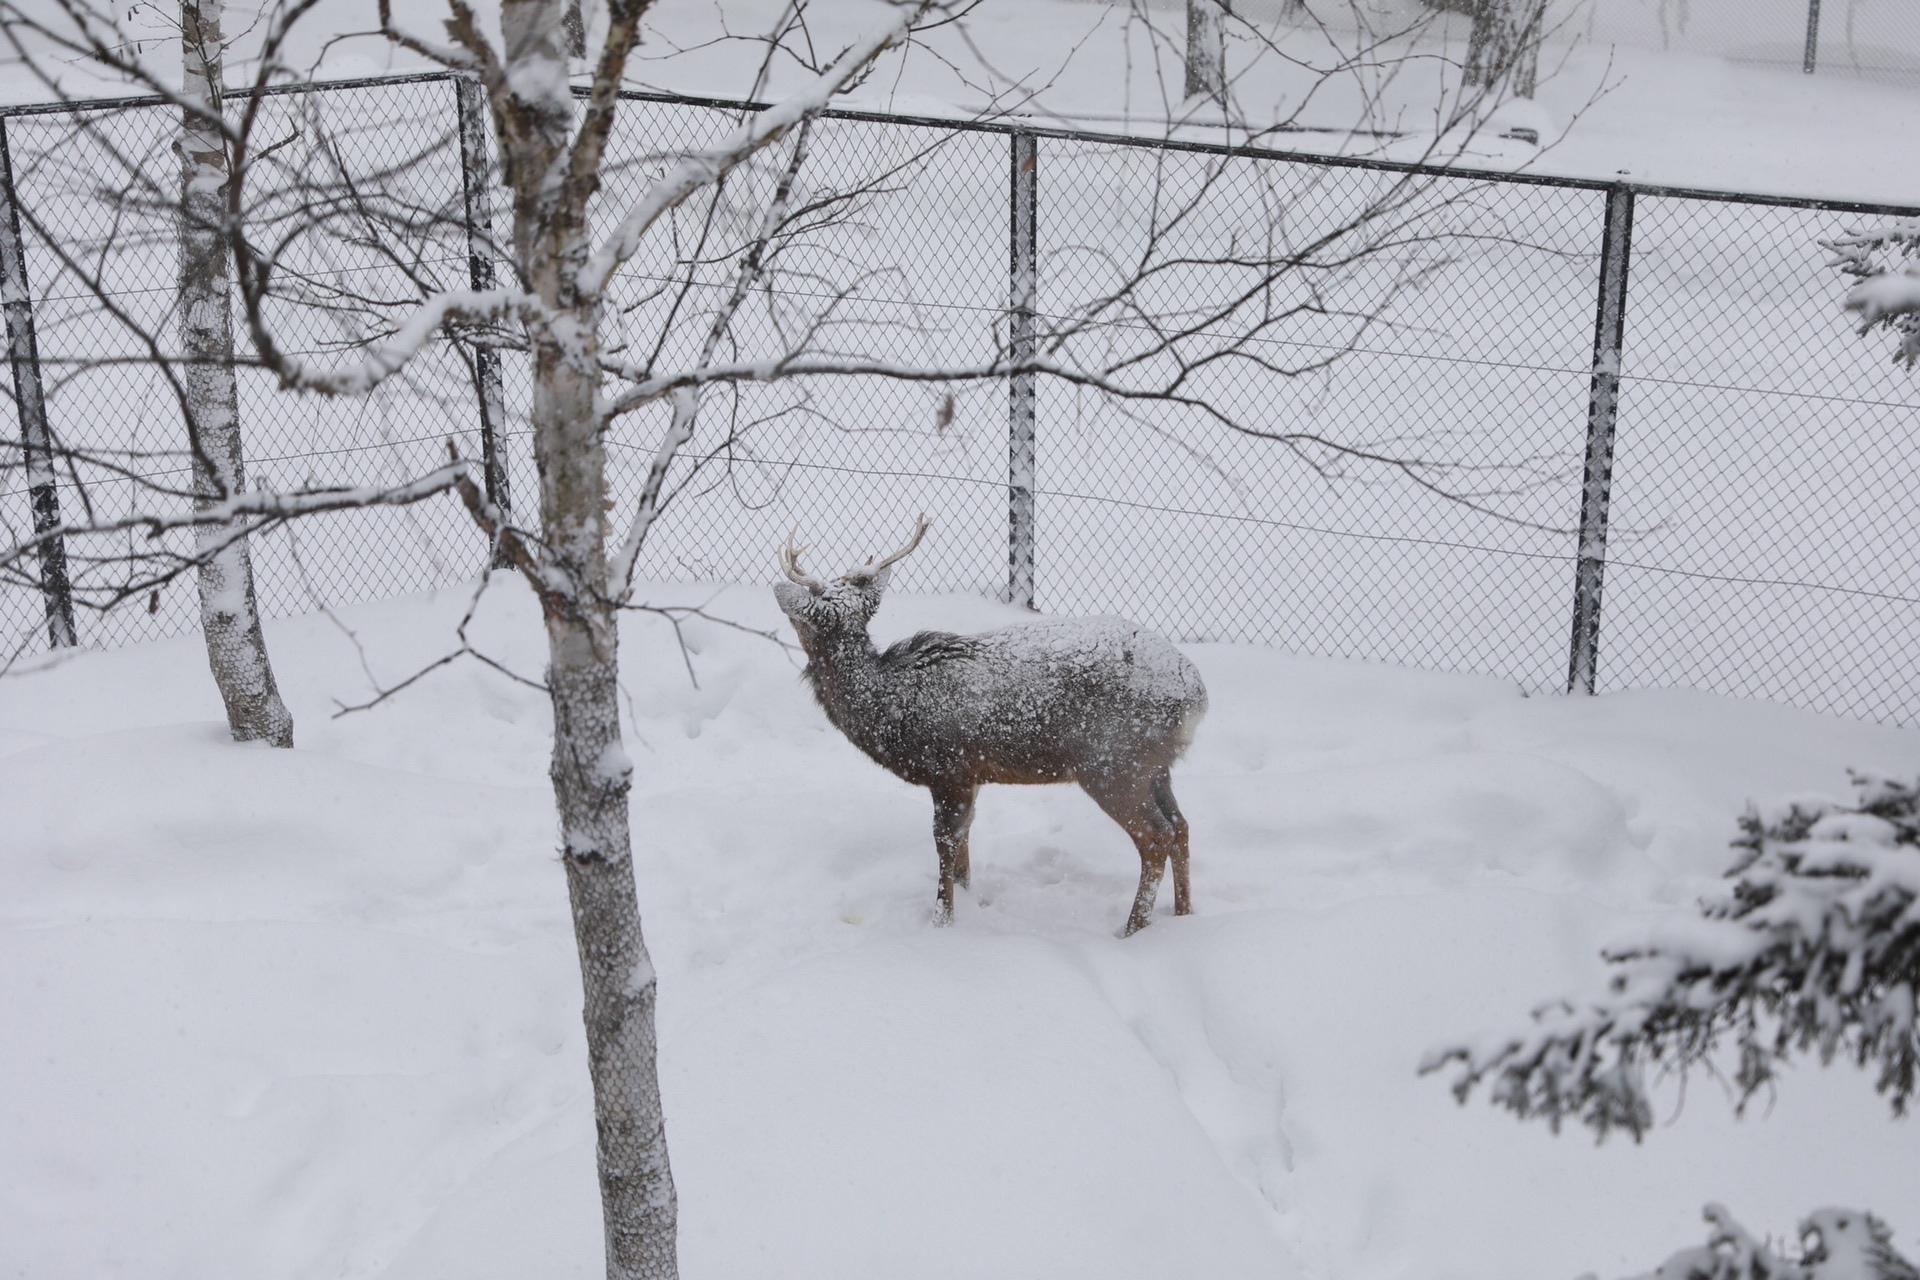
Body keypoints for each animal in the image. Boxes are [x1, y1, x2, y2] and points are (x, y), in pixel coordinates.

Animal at [771, 514, 1205, 936]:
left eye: (805, 614)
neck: (891, 708)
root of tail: (1195, 694)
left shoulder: (949, 766)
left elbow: (945, 842)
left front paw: (942, 921)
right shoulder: (971, 775)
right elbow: (963, 843)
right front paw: (965, 897)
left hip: (1112, 761)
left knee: (1157, 835)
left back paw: (1133, 930)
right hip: (1156, 765)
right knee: (1181, 826)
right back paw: (1184, 915)